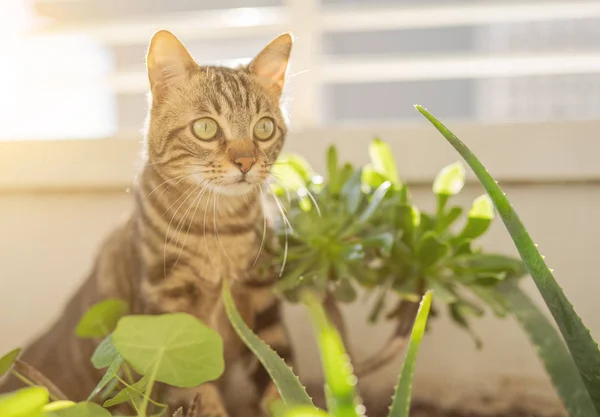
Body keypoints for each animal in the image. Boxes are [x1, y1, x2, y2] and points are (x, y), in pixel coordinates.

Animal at [0, 30, 296, 416]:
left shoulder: (263, 307)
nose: (246, 162)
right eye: (206, 128)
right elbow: (196, 391)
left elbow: (280, 381)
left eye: (264, 128)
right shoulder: (170, 317)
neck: (220, 232)